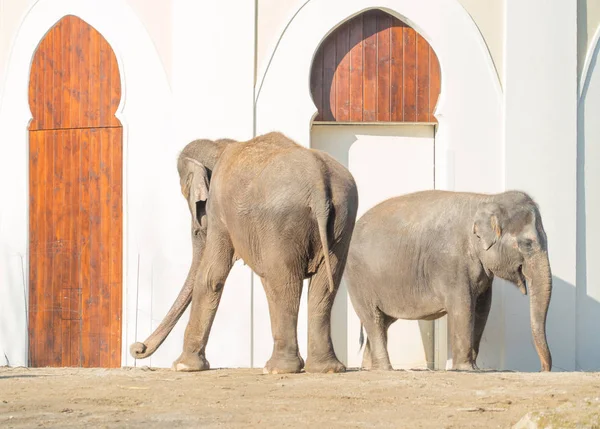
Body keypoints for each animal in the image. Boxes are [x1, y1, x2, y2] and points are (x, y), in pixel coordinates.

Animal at [129, 132, 358, 372]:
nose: (138, 348)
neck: (219, 145)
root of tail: (317, 180)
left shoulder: (219, 209)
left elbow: (211, 275)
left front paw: (183, 366)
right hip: (343, 218)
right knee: (323, 286)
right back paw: (325, 368)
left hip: (282, 222)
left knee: (284, 281)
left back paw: (276, 368)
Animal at [344, 189, 552, 370]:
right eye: (527, 244)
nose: (542, 369)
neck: (487, 199)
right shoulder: (452, 264)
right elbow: (463, 307)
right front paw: (465, 369)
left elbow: (483, 309)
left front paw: (474, 367)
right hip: (358, 278)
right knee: (373, 318)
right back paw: (386, 369)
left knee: (383, 321)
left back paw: (370, 369)